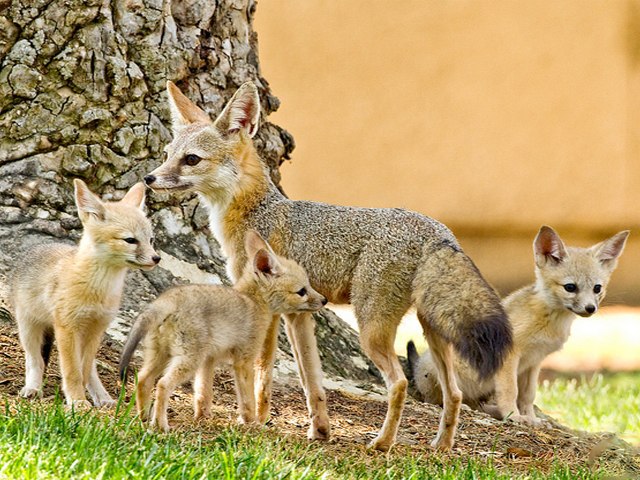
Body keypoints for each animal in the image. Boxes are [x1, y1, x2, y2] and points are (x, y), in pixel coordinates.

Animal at [12, 179, 160, 404]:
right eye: (130, 240)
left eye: (150, 240)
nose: (156, 258)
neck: (98, 289)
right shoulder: (67, 328)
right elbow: (72, 371)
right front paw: (77, 402)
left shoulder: (96, 328)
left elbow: (82, 370)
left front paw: (82, 399)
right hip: (29, 328)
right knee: (35, 360)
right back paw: (33, 388)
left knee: (90, 369)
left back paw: (103, 398)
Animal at [118, 230, 324, 432]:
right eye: (302, 291)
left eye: (308, 286)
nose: (324, 300)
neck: (253, 301)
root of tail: (166, 301)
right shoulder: (244, 360)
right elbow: (247, 399)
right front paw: (252, 423)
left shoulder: (209, 360)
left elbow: (203, 393)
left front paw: (203, 418)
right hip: (187, 360)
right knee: (162, 384)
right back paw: (161, 425)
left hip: (163, 356)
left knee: (143, 379)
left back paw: (144, 418)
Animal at [142, 80, 512, 452]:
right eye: (167, 154)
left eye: (191, 159)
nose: (148, 178)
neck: (256, 212)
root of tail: (437, 229)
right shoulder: (299, 313)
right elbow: (311, 380)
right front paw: (319, 430)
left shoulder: (270, 310)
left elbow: (263, 370)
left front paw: (255, 421)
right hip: (432, 333)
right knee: (455, 393)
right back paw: (441, 446)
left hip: (372, 331)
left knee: (399, 384)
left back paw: (382, 443)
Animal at [408, 225, 628, 424]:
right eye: (570, 287)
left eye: (597, 288)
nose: (590, 308)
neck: (548, 320)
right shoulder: (509, 357)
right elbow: (510, 391)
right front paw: (513, 416)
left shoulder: (534, 361)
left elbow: (528, 395)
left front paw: (530, 418)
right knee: (441, 399)